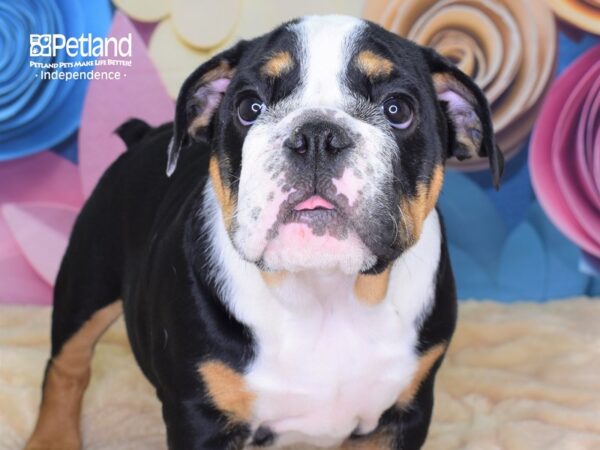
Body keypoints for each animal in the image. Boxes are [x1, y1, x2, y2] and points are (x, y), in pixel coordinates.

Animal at [25, 14, 502, 450]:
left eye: (397, 110)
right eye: (249, 107)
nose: (317, 135)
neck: (326, 293)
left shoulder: (404, 414)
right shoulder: (201, 419)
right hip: (87, 283)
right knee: (67, 365)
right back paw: (51, 439)